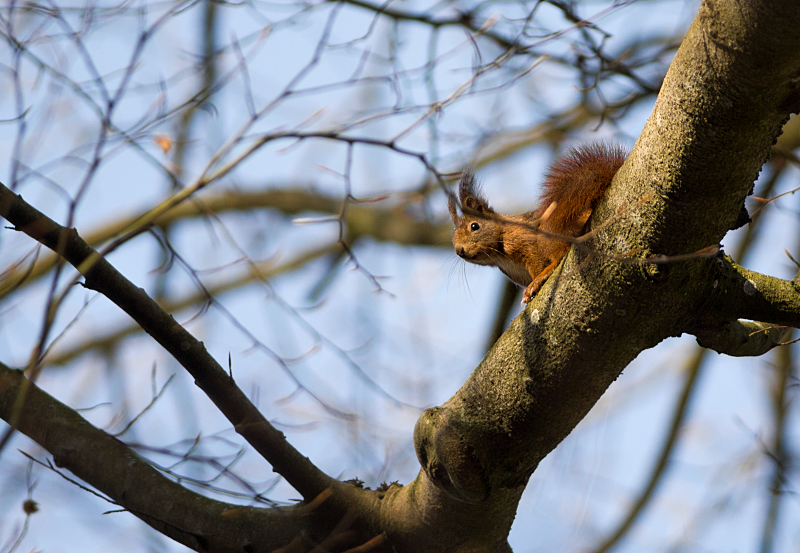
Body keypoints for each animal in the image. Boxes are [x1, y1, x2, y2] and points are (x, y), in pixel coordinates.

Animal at [450, 142, 624, 304]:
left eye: (474, 226)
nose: (459, 251)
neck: (499, 255)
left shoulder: (525, 242)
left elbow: (537, 262)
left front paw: (536, 282)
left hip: (549, 237)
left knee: (559, 254)